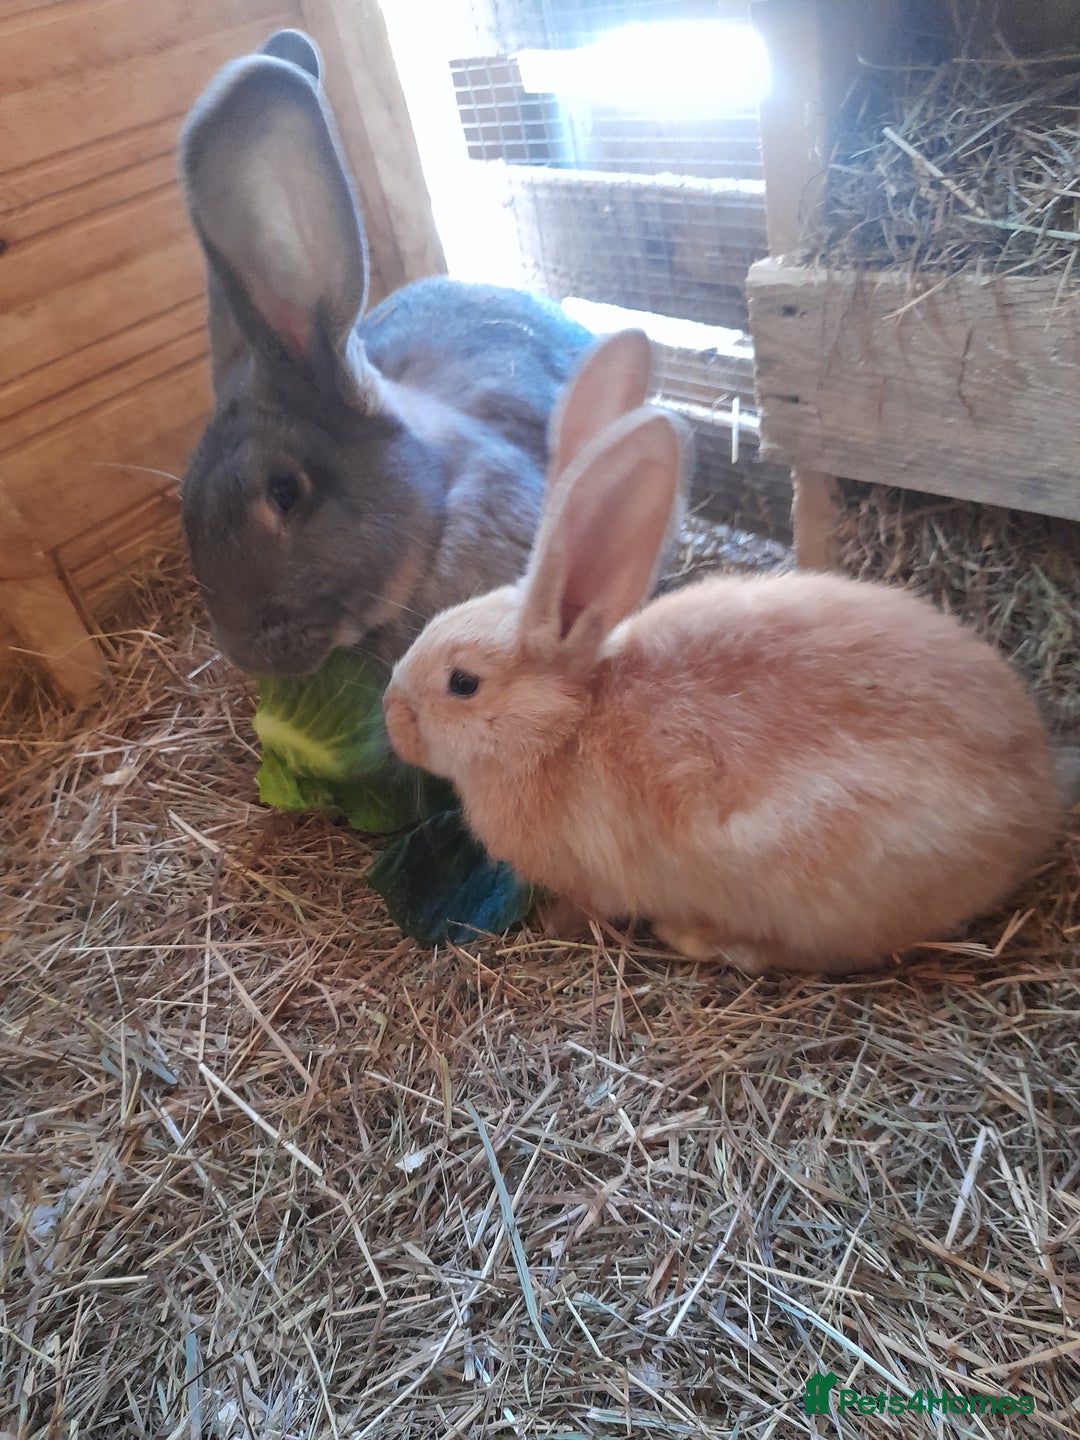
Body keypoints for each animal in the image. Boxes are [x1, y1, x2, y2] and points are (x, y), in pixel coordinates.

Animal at [382, 334, 1062, 975]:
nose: (392, 715)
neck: (567, 725)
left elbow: (588, 908)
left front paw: (556, 923)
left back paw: (694, 937)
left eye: (462, 682)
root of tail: (1035, 803)